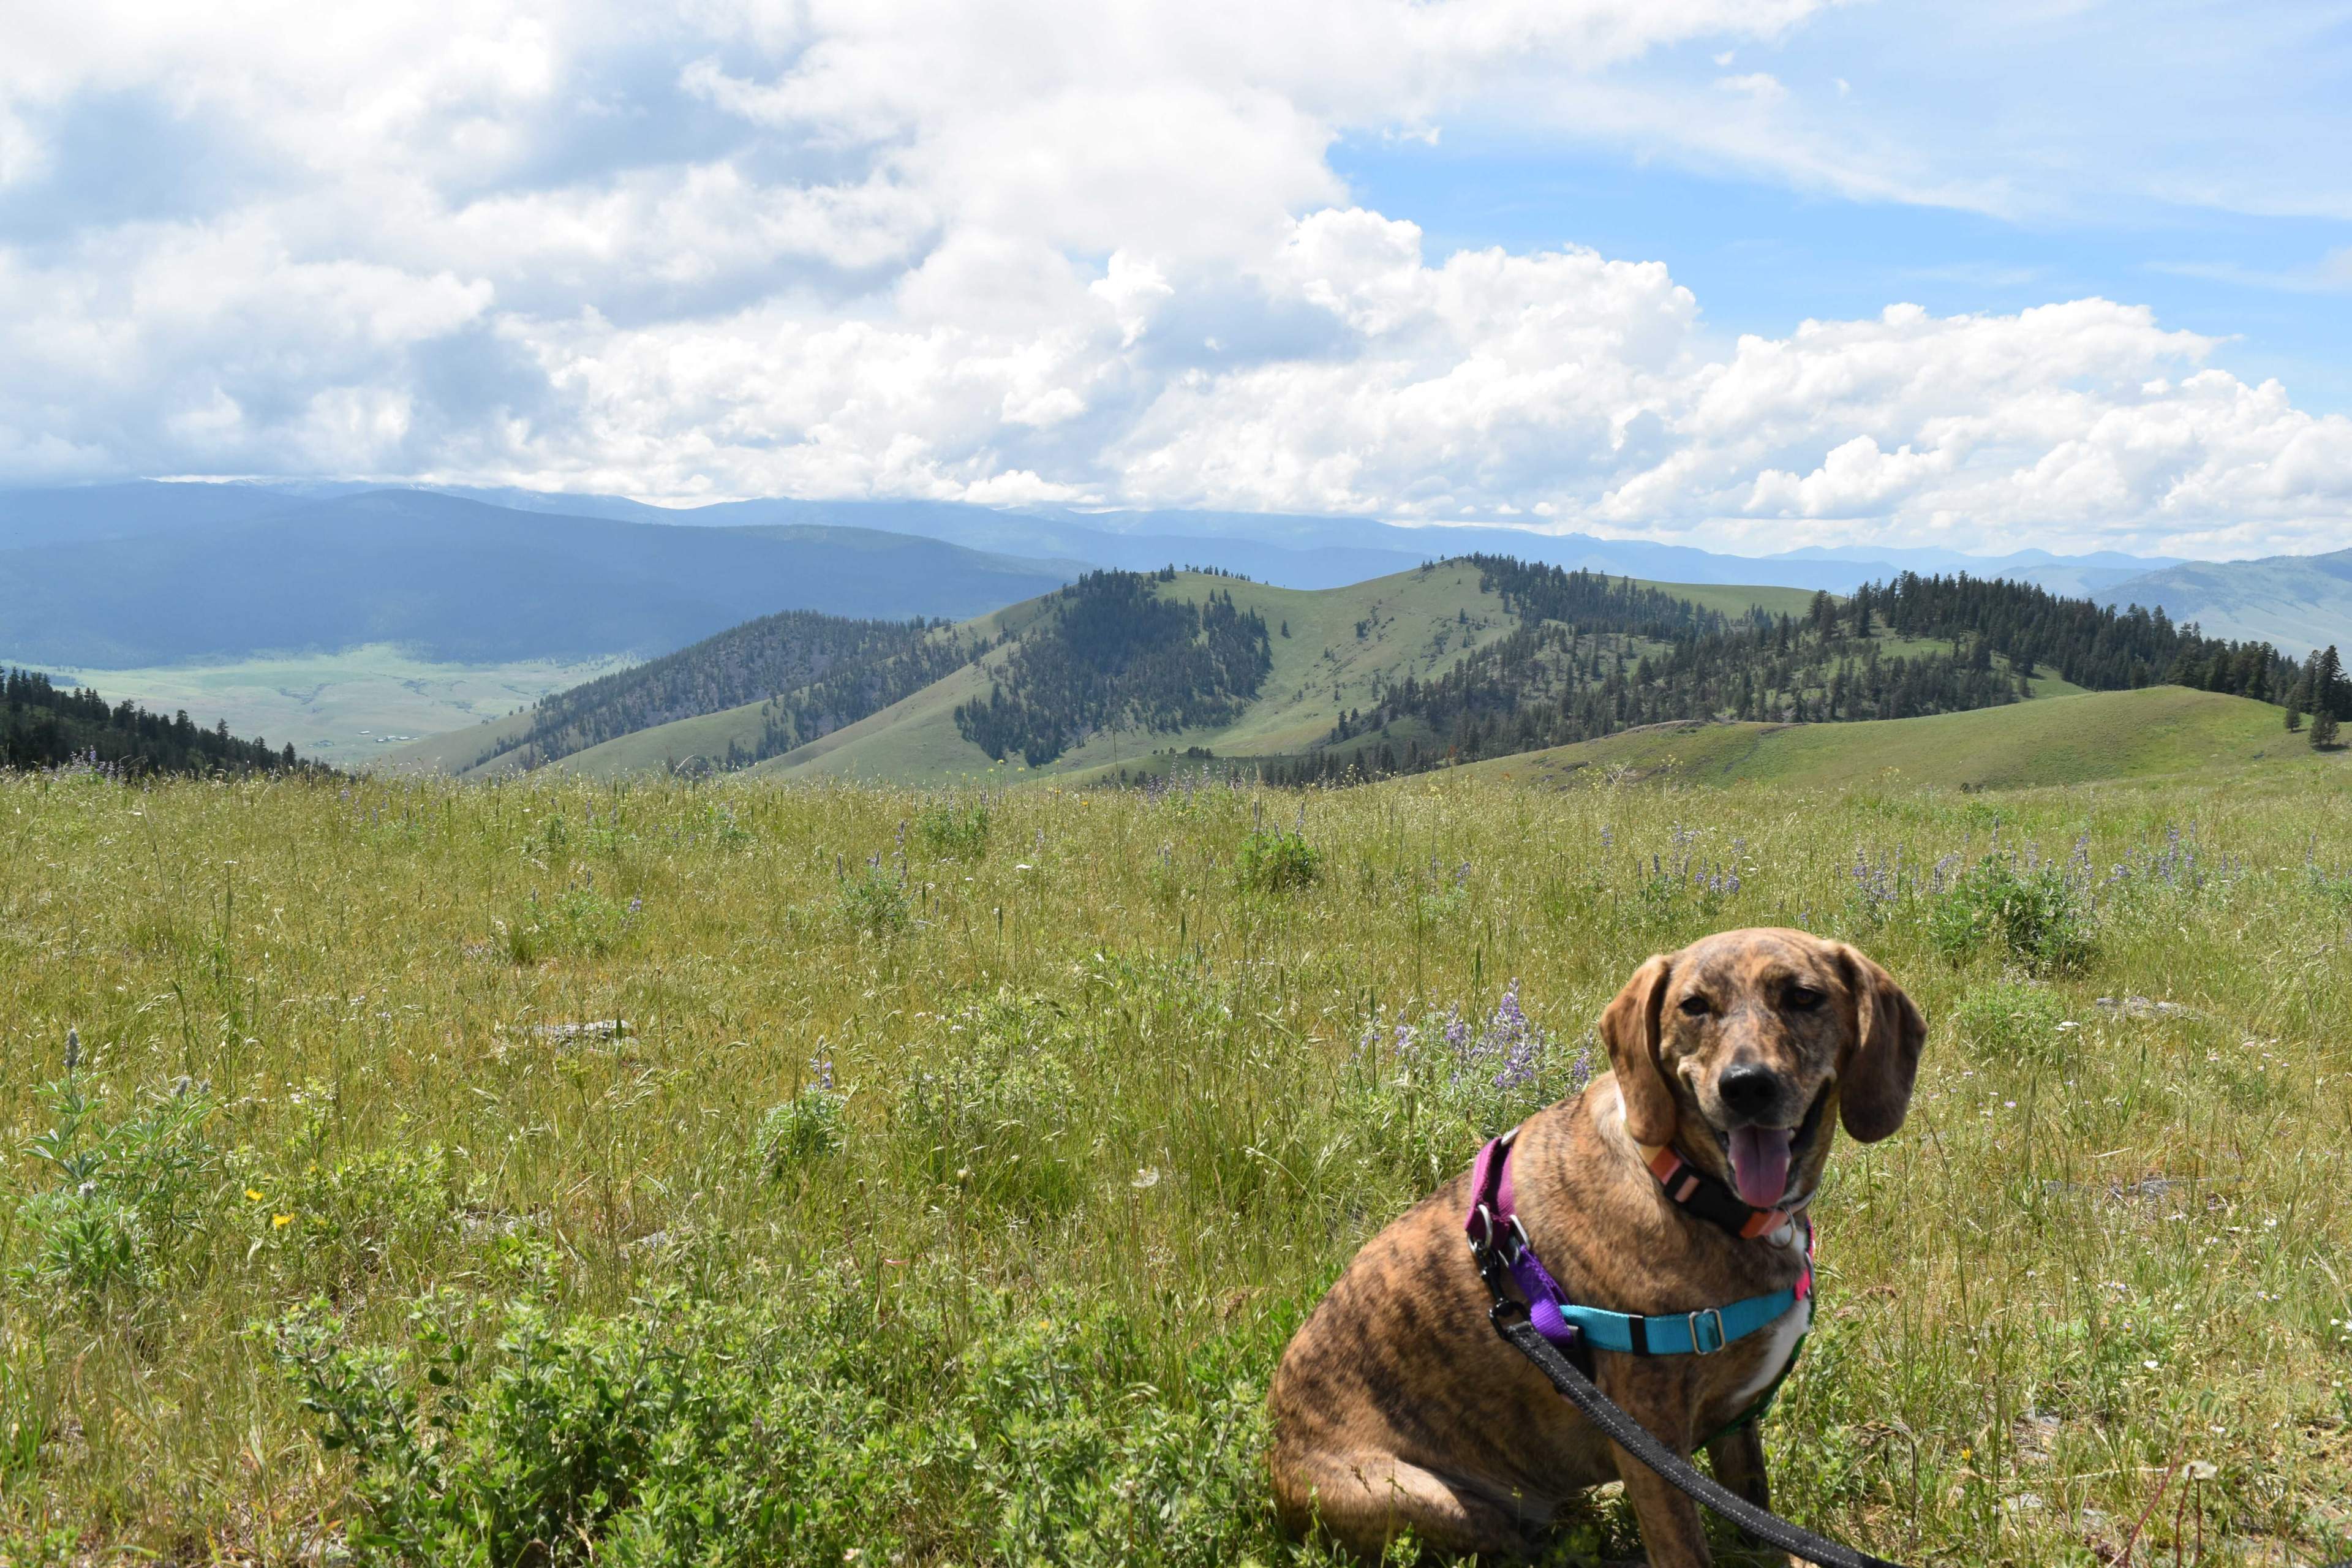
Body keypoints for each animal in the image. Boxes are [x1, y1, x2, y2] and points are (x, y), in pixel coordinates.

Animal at [1279, 926, 1919, 1561]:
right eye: (1694, 1006)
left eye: (1805, 998)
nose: (1746, 1088)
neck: (1684, 1184)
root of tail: (1272, 1475)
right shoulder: (1652, 1442)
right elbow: (1686, 1549)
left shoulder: (1735, 1428)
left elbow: (1757, 1518)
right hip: (1431, 1501)